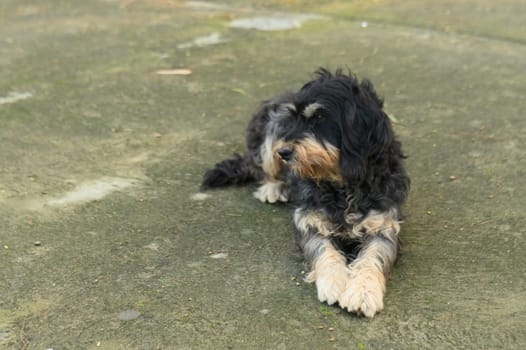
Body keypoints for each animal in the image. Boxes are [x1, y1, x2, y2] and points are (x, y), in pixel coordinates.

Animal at [200, 68, 410, 318]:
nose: (283, 152)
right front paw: (334, 282)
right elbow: (323, 250)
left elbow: (373, 256)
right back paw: (273, 188)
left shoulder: (384, 223)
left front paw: (362, 292)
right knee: (261, 168)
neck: (343, 187)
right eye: (294, 120)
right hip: (269, 133)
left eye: (318, 119)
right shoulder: (309, 220)